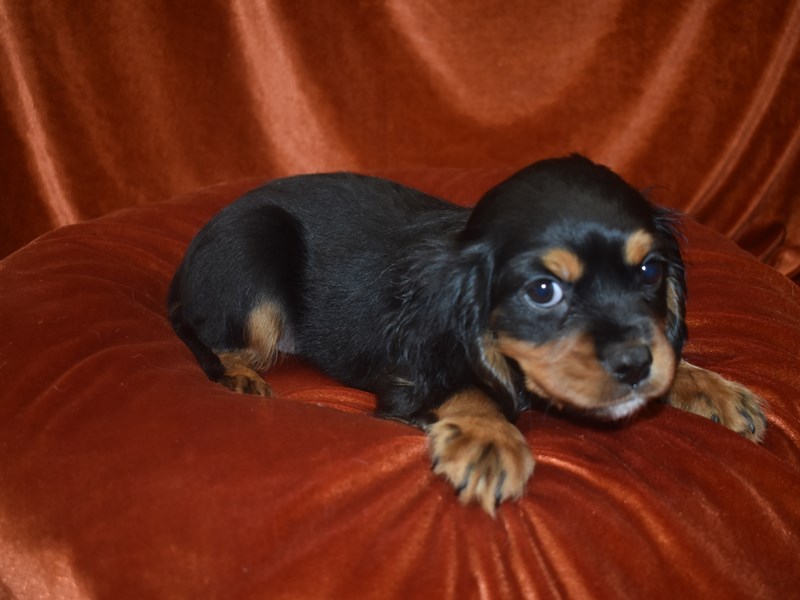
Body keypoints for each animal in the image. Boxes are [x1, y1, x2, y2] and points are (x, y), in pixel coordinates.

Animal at [167, 155, 764, 516]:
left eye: (650, 271)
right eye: (543, 291)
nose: (635, 365)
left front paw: (715, 389)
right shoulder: (410, 379)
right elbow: (468, 384)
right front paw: (489, 439)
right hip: (254, 251)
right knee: (217, 340)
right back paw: (241, 377)